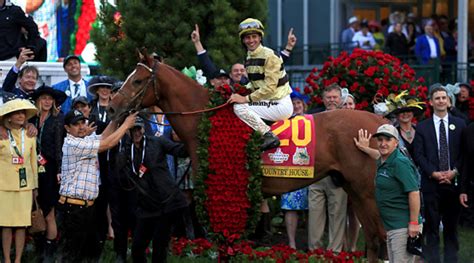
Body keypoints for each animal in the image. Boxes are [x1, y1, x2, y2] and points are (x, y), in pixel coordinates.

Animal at [108, 51, 388, 262]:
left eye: (137, 80)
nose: (111, 107)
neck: (205, 121)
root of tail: (380, 122)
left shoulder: (223, 192)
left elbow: (226, 243)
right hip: (353, 189)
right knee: (373, 239)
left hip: (368, 191)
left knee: (382, 235)